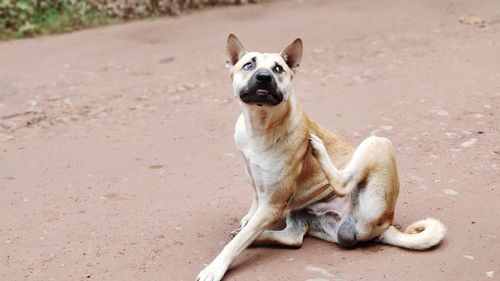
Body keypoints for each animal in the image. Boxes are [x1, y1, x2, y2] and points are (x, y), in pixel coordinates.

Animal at [195, 33, 446, 280]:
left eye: (278, 69)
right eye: (249, 65)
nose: (264, 77)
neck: (261, 125)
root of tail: (387, 225)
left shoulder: (274, 203)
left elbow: (238, 242)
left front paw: (215, 267)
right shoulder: (255, 180)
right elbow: (253, 207)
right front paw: (248, 219)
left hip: (378, 143)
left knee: (342, 183)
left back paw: (317, 147)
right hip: (303, 212)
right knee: (293, 239)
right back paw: (260, 237)